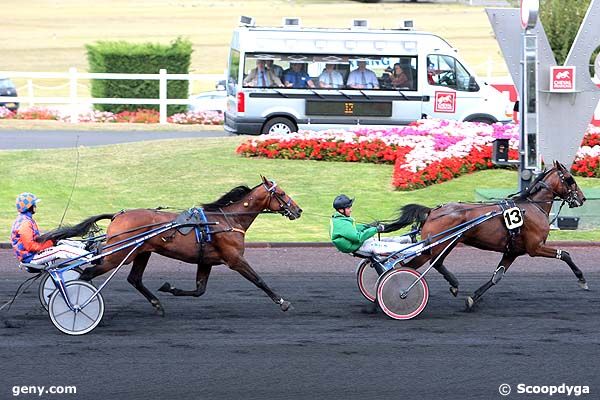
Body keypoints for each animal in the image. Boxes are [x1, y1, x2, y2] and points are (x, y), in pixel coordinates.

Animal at [38, 177, 302, 316]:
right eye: (281, 193)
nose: (298, 210)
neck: (227, 221)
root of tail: (118, 215)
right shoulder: (235, 259)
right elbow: (259, 280)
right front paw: (282, 302)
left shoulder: (206, 261)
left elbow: (199, 290)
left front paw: (169, 288)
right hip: (119, 254)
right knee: (87, 273)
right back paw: (75, 300)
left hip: (141, 253)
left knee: (133, 279)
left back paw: (156, 303)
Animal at [384, 161, 584, 310]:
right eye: (569, 179)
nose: (582, 198)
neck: (533, 207)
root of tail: (432, 211)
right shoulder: (535, 248)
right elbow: (565, 254)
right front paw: (582, 279)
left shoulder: (512, 252)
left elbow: (496, 277)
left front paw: (473, 298)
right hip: (444, 243)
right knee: (435, 262)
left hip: (433, 246)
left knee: (409, 265)